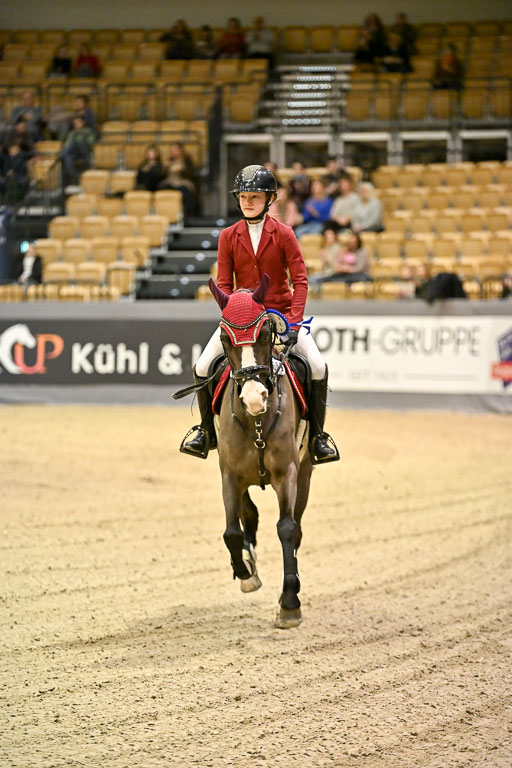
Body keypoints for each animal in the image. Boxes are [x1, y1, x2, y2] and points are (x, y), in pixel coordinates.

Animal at [208, 273, 313, 629]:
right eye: (224, 339)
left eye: (266, 333)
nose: (255, 398)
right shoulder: (228, 474)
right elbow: (230, 531)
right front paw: (245, 574)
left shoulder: (288, 473)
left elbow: (287, 529)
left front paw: (290, 603)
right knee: (247, 513)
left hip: (305, 474)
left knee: (296, 527)